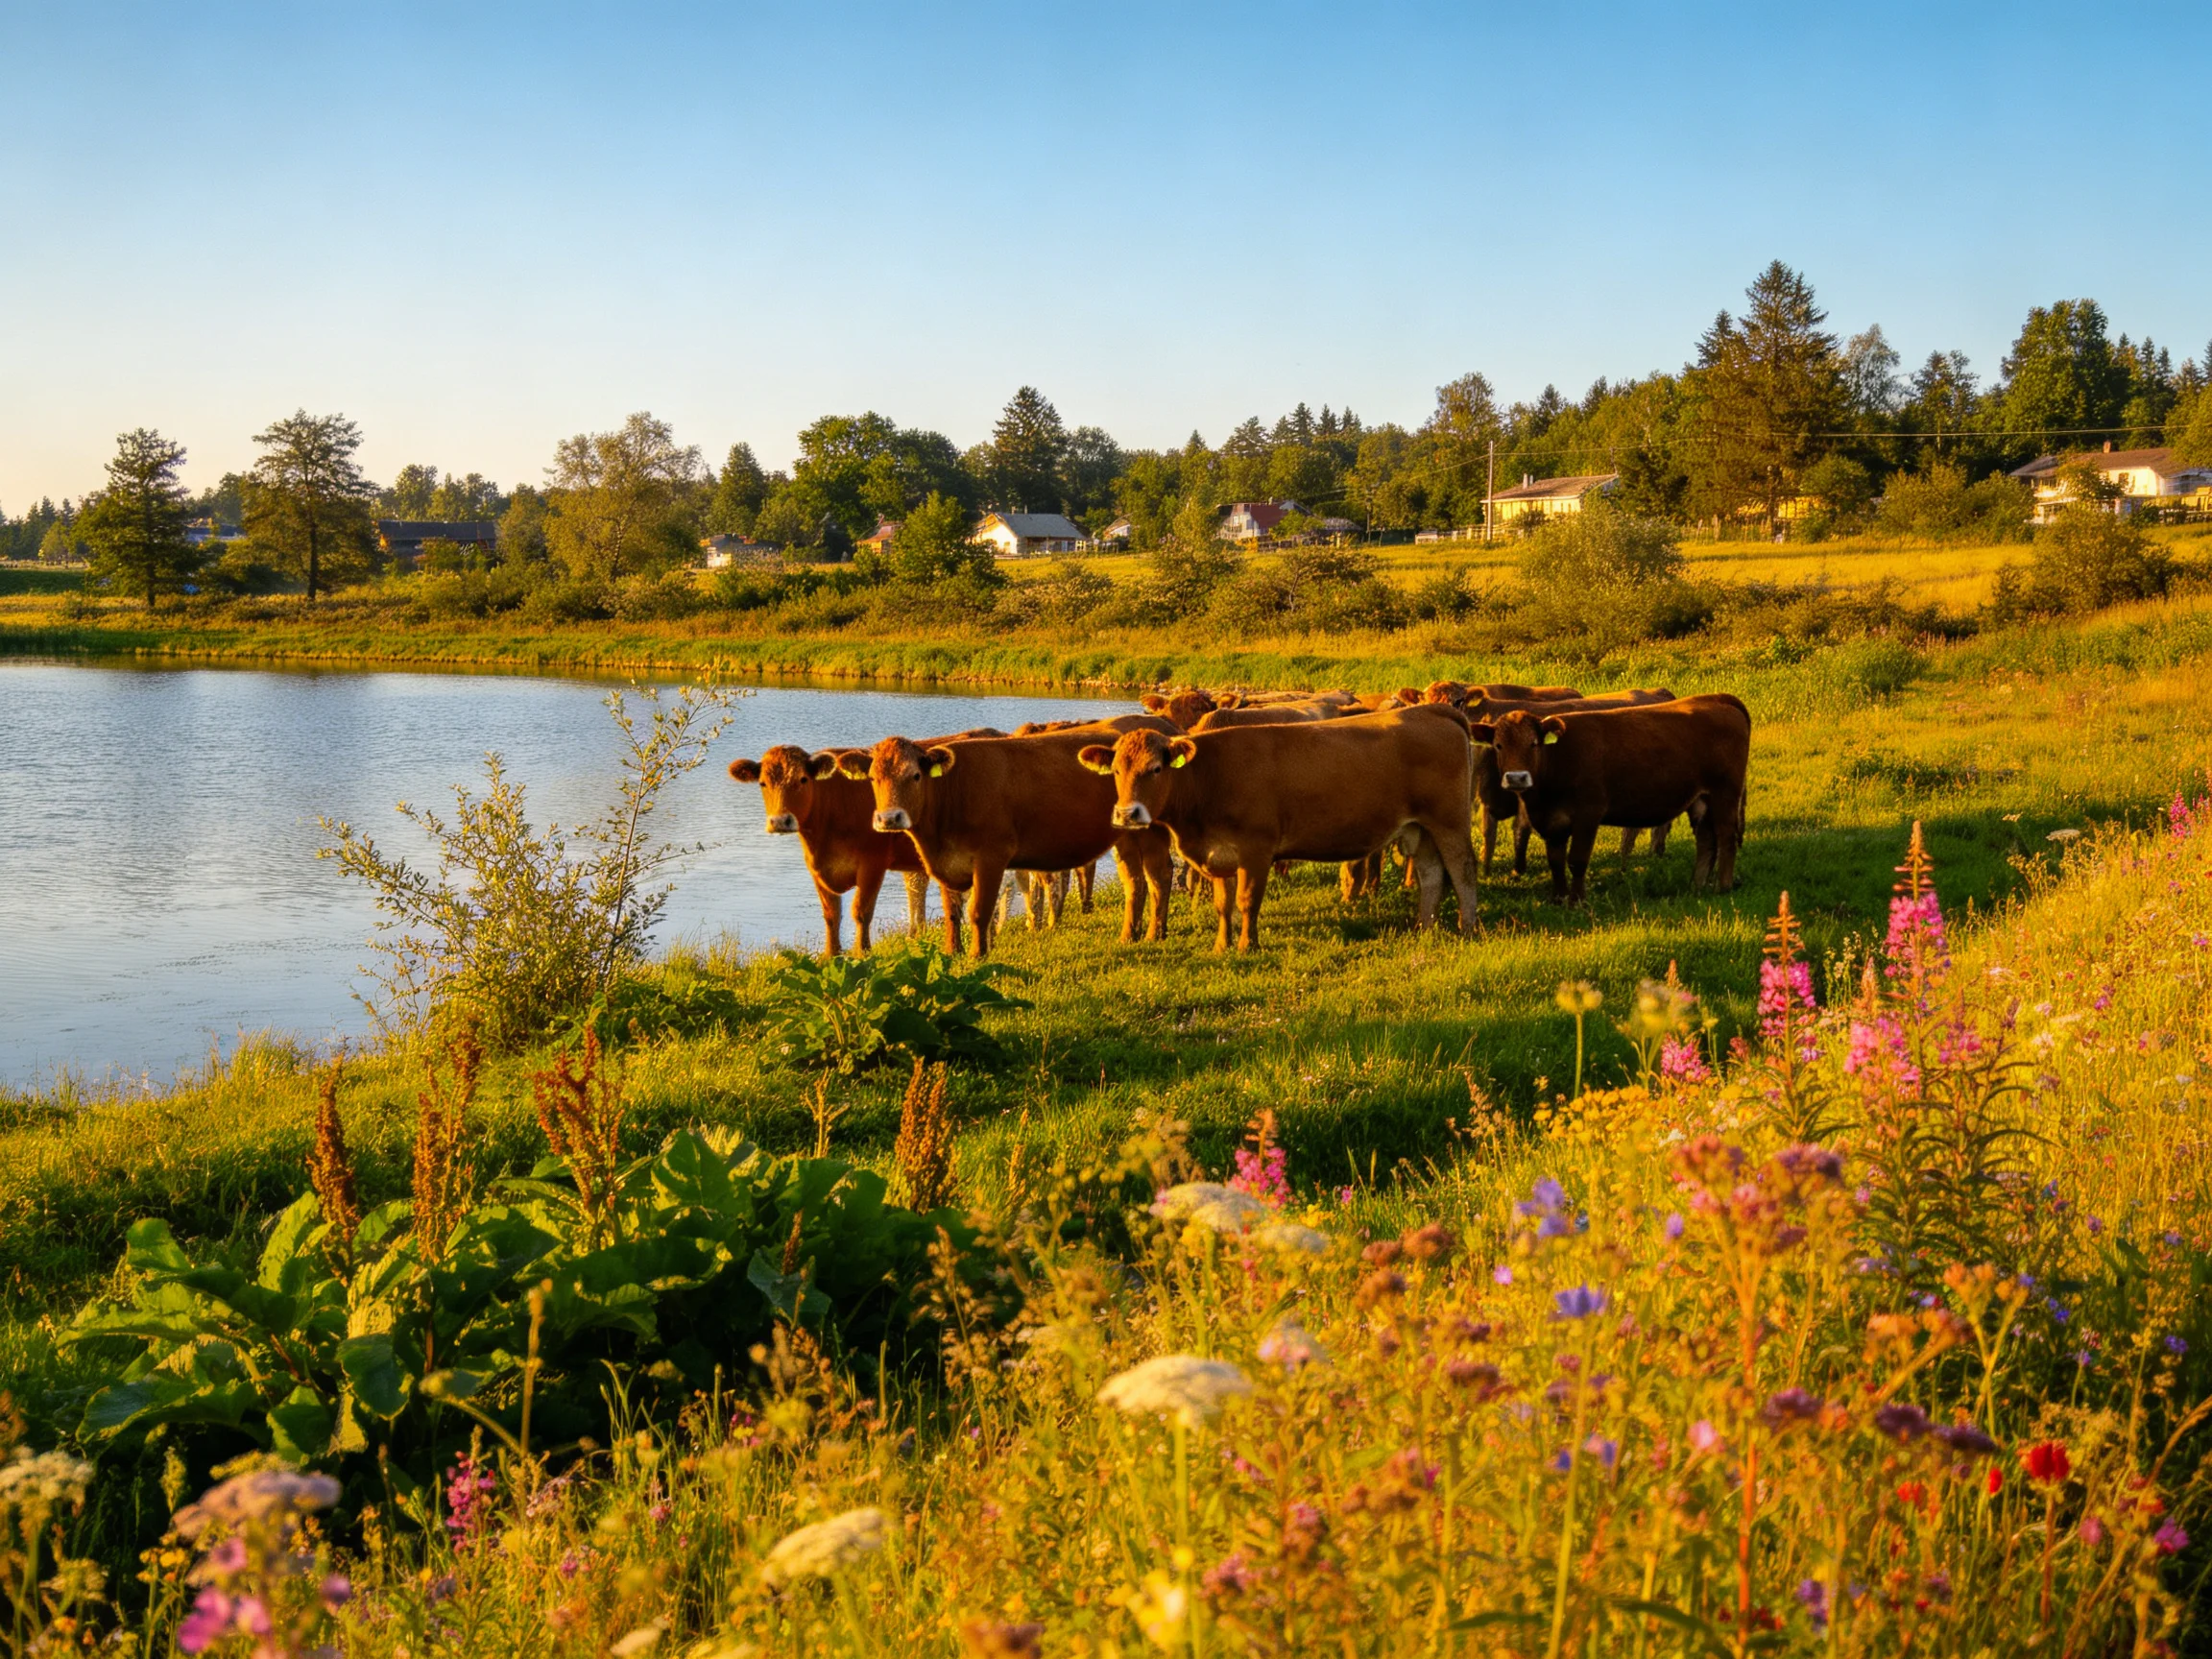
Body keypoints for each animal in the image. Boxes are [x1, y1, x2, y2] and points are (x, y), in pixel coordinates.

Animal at [727, 726, 1001, 954]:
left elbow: (861, 911)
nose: (780, 821)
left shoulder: (873, 862)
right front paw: (831, 955)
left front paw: (862, 952)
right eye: (763, 783)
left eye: (802, 779)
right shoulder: (817, 869)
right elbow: (831, 914)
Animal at [848, 723, 1178, 956]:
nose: (890, 818)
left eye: (915, 775)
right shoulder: (945, 863)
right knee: (1135, 881)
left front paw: (977, 955)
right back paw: (1131, 935)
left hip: (1150, 829)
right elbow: (952, 913)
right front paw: (952, 952)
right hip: (1126, 834)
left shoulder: (992, 857)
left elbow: (979, 910)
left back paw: (1154, 934)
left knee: (1159, 875)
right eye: (874, 778)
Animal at [1080, 706, 1480, 951]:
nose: (1127, 814)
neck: (1210, 774)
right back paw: (1425, 928)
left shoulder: (1256, 849)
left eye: (1156, 769)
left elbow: (1246, 900)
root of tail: (1428, 711)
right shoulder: (1220, 852)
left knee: (1462, 870)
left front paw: (1247, 946)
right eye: (1116, 770)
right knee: (1431, 873)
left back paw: (1468, 928)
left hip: (1449, 821)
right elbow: (1223, 904)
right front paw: (1222, 945)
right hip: (1421, 827)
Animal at [1468, 694, 1750, 903]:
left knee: (1725, 837)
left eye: (1534, 743)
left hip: (1725, 793)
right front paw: (1558, 898)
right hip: (1700, 800)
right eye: (1498, 745)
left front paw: (1577, 900)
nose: (1517, 778)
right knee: (1706, 840)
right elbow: (1556, 862)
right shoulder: (1552, 822)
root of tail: (1716, 699)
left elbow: (1577, 860)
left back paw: (1722, 886)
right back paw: (1697, 886)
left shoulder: (1588, 815)